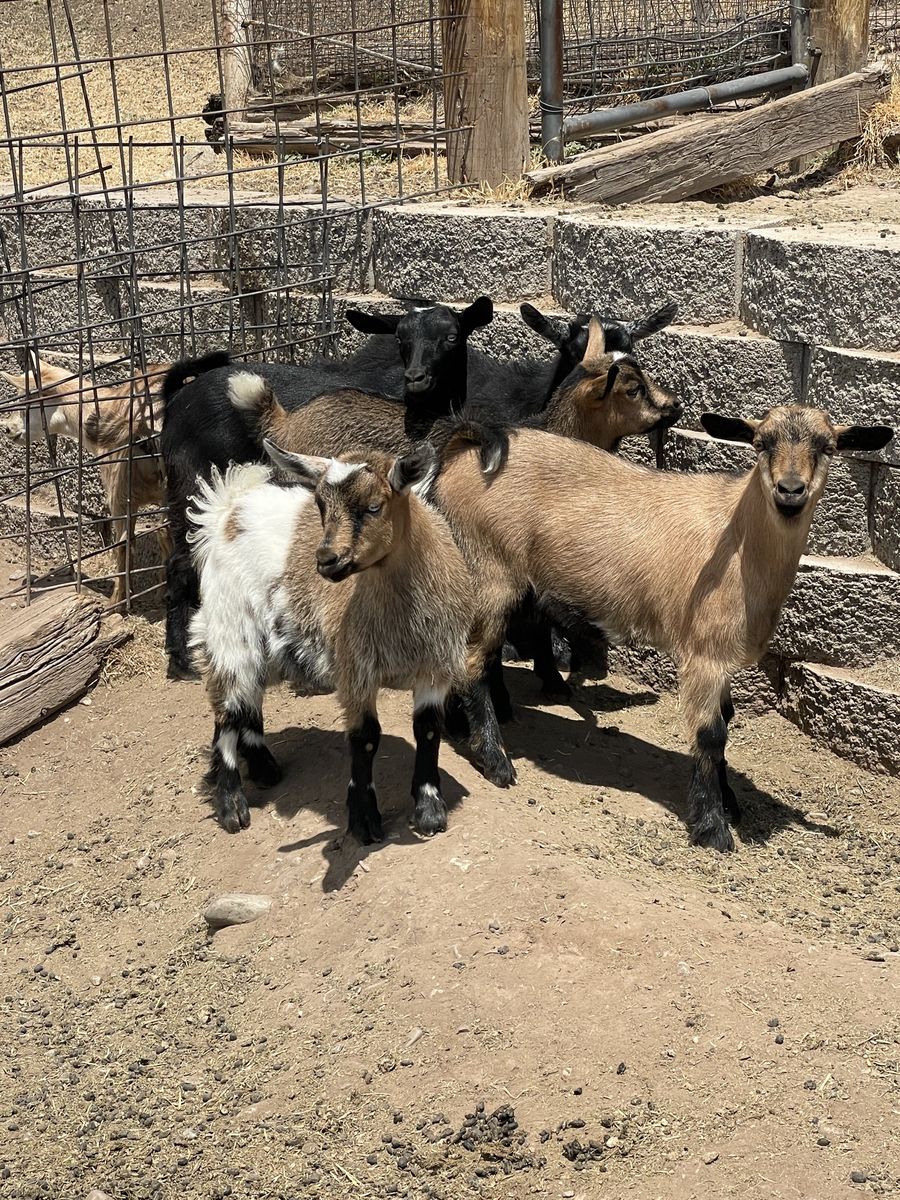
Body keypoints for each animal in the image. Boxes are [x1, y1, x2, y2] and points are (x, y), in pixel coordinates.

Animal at [1, 358, 173, 605]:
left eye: (27, 401)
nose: (7, 429)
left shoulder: (118, 488)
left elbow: (127, 543)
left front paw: (120, 600)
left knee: (132, 540)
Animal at [161, 298, 493, 679]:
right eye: (399, 338)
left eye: (453, 336)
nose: (415, 379)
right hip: (193, 487)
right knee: (182, 564)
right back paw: (184, 660)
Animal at [187, 439, 474, 841]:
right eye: (321, 505)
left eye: (374, 505)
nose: (326, 560)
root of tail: (228, 509)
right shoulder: (356, 667)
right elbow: (365, 738)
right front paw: (364, 820)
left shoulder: (436, 665)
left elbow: (429, 729)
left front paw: (430, 810)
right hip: (230, 621)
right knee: (227, 704)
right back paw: (231, 804)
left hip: (265, 640)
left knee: (246, 697)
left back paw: (262, 767)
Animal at [435, 407, 893, 847]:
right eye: (761, 443)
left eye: (828, 447)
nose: (791, 491)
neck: (738, 537)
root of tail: (465, 449)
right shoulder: (704, 654)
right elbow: (710, 735)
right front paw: (712, 827)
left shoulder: (721, 659)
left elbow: (726, 723)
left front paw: (729, 802)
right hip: (489, 570)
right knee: (473, 661)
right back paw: (494, 759)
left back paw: (460, 726)